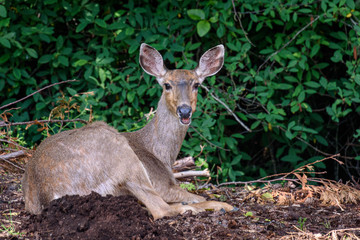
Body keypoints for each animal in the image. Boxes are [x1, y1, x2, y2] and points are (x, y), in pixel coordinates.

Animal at [23, 43, 236, 219]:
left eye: (197, 85)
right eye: (167, 85)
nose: (184, 111)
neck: (162, 155)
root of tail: (45, 194)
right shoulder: (162, 183)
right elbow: (194, 196)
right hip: (121, 156)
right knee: (161, 209)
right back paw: (222, 206)